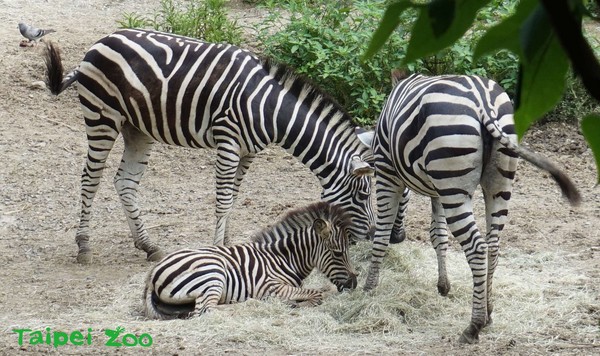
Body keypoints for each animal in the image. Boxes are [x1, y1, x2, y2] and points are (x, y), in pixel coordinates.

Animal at [142, 200, 356, 320]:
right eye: (338, 253)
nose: (353, 284)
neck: (284, 258)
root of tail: (151, 275)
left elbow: (321, 290)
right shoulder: (271, 286)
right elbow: (316, 294)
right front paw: (294, 304)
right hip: (213, 273)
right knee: (206, 311)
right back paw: (247, 305)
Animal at [356, 71, 580, 344]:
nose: (400, 238)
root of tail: (483, 100)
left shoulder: (388, 173)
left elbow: (381, 233)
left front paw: (369, 288)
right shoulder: (437, 191)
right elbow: (438, 235)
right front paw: (443, 286)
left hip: (454, 184)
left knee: (477, 248)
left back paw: (474, 325)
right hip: (496, 184)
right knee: (493, 245)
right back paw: (489, 311)